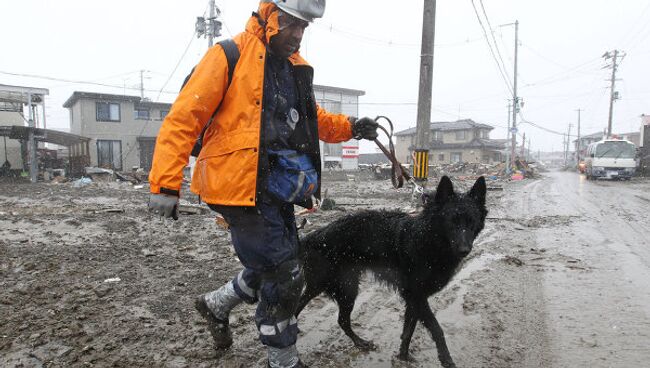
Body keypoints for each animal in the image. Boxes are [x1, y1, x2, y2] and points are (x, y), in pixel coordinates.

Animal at [296, 177, 484, 366]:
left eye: (471, 222)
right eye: (452, 221)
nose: (464, 250)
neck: (427, 239)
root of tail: (312, 237)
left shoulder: (414, 299)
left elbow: (409, 329)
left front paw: (403, 356)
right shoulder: (416, 295)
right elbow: (436, 328)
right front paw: (445, 358)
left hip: (344, 287)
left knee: (340, 319)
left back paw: (358, 342)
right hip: (331, 285)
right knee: (307, 309)